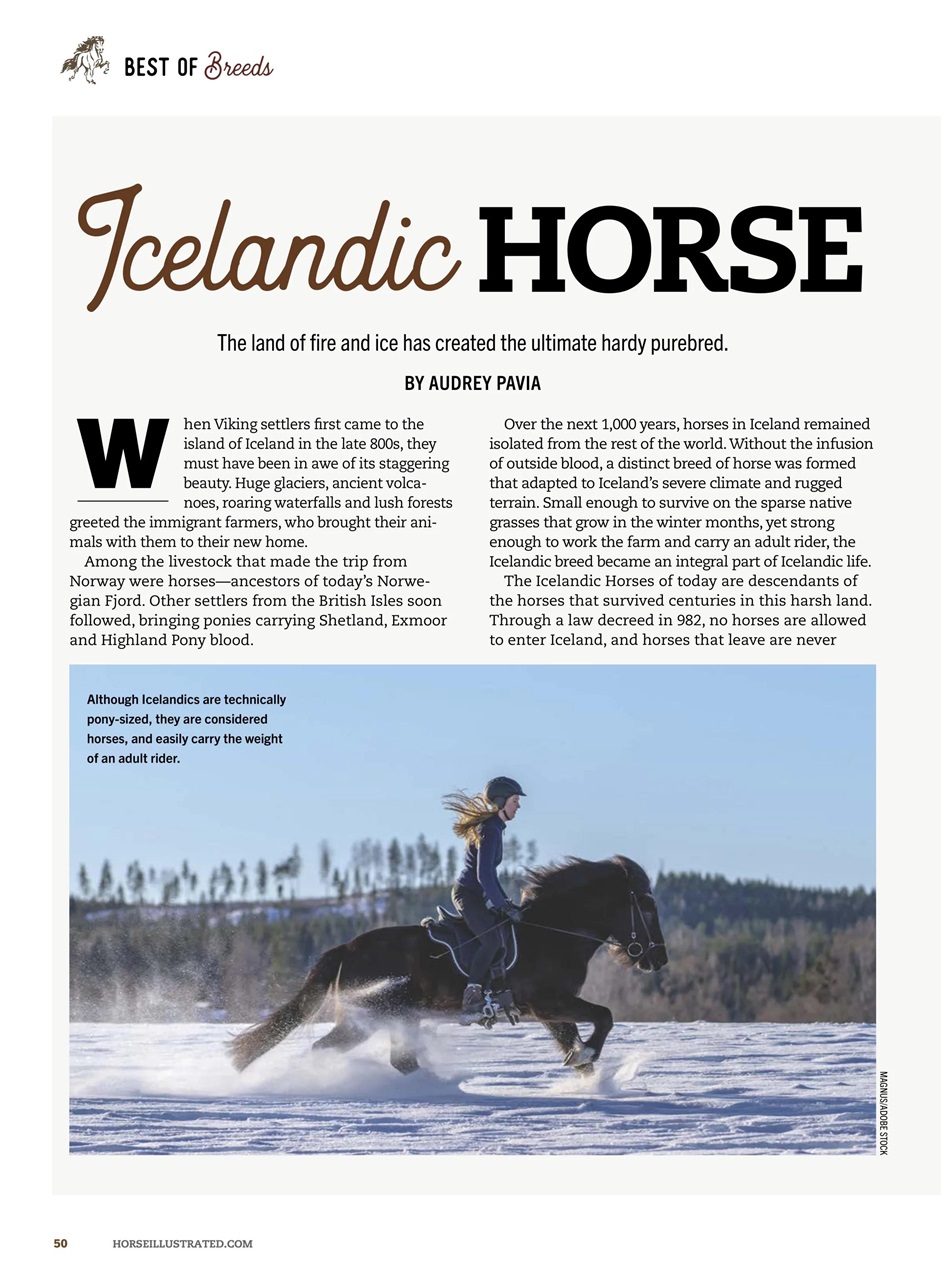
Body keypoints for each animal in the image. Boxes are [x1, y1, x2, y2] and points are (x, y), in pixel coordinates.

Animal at [228, 855, 668, 1076]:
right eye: (646, 905)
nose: (658, 958)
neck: (553, 932)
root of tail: (348, 947)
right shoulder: (550, 1002)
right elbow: (605, 1017)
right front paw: (588, 1056)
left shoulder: (548, 1011)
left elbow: (577, 1045)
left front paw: (588, 1079)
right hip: (369, 1017)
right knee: (331, 1050)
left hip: (394, 1016)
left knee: (397, 1060)